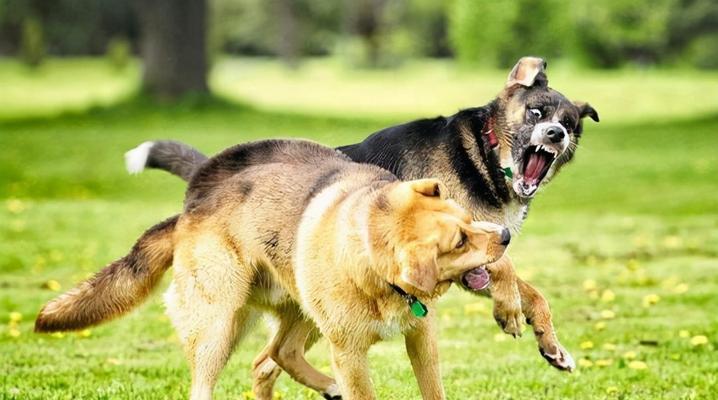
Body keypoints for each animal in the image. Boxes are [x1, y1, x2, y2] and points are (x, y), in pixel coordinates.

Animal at [36, 139, 516, 398]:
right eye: (458, 242)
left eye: (467, 220)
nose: (506, 236)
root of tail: (190, 211)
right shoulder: (350, 353)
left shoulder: (421, 337)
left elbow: (432, 387)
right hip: (220, 323)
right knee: (218, 377)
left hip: (302, 310)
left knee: (275, 355)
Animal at [125, 56, 600, 378]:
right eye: (536, 112)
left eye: (569, 122)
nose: (556, 134)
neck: (483, 154)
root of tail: (209, 179)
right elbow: (507, 273)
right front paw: (509, 311)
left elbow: (535, 293)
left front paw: (552, 346)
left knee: (266, 361)